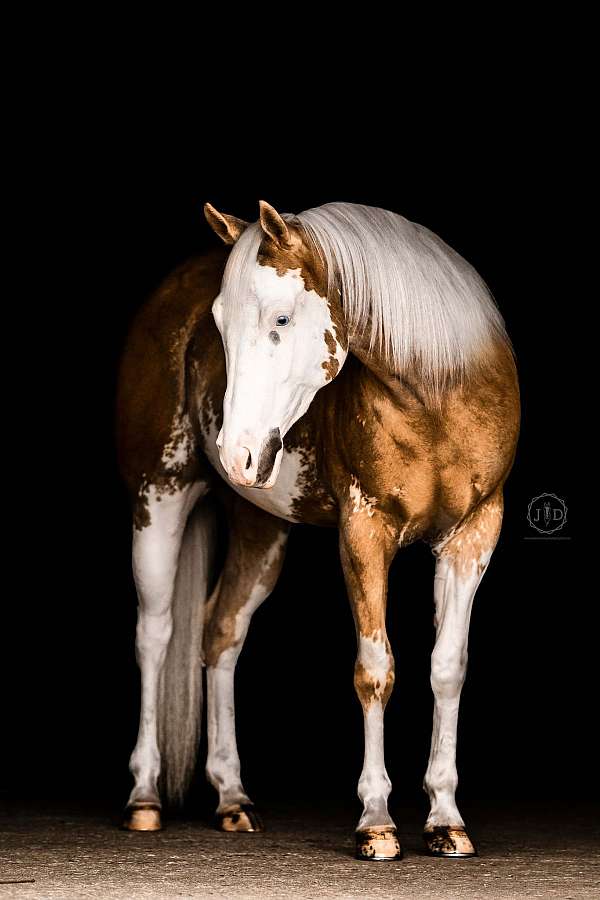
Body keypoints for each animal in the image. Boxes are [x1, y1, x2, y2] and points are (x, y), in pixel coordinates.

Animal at [116, 200, 520, 860]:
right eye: (219, 323)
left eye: (281, 317)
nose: (235, 454)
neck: (436, 398)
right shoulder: (364, 533)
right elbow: (375, 670)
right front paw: (377, 823)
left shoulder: (475, 533)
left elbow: (447, 668)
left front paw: (446, 820)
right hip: (160, 497)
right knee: (155, 635)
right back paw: (144, 799)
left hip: (260, 528)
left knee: (221, 633)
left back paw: (232, 799)